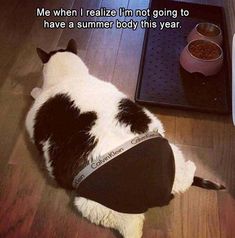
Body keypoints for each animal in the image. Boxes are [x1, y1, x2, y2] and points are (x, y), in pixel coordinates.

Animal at [24, 39, 225, 238]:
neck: (70, 77)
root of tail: (157, 194)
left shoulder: (31, 118)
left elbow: (36, 95)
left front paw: (35, 90)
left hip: (94, 205)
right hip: (169, 148)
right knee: (183, 181)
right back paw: (191, 167)